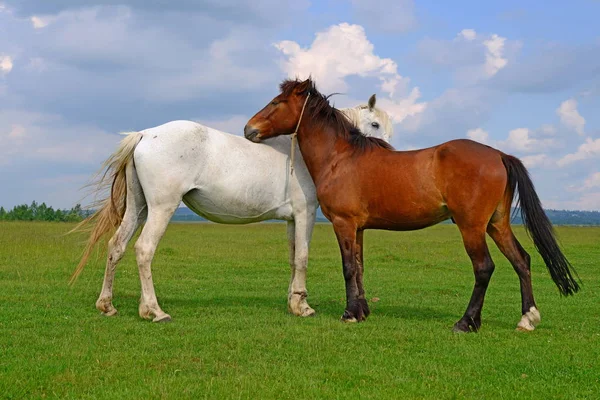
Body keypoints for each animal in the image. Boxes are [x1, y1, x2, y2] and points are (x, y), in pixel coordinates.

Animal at [72, 94, 392, 322]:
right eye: (375, 125)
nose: (386, 155)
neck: (310, 150)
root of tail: (146, 134)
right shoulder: (306, 214)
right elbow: (302, 257)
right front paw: (304, 307)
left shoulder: (291, 219)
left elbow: (292, 258)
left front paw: (294, 301)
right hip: (162, 208)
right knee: (144, 249)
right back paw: (155, 311)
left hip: (139, 209)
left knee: (117, 246)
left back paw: (108, 305)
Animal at [241, 78, 580, 332]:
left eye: (277, 102)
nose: (248, 129)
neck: (340, 157)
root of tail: (498, 154)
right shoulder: (359, 227)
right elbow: (360, 267)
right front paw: (362, 311)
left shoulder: (343, 223)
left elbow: (348, 267)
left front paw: (350, 314)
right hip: (497, 224)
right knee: (522, 260)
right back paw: (527, 318)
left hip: (472, 227)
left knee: (484, 267)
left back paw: (466, 322)